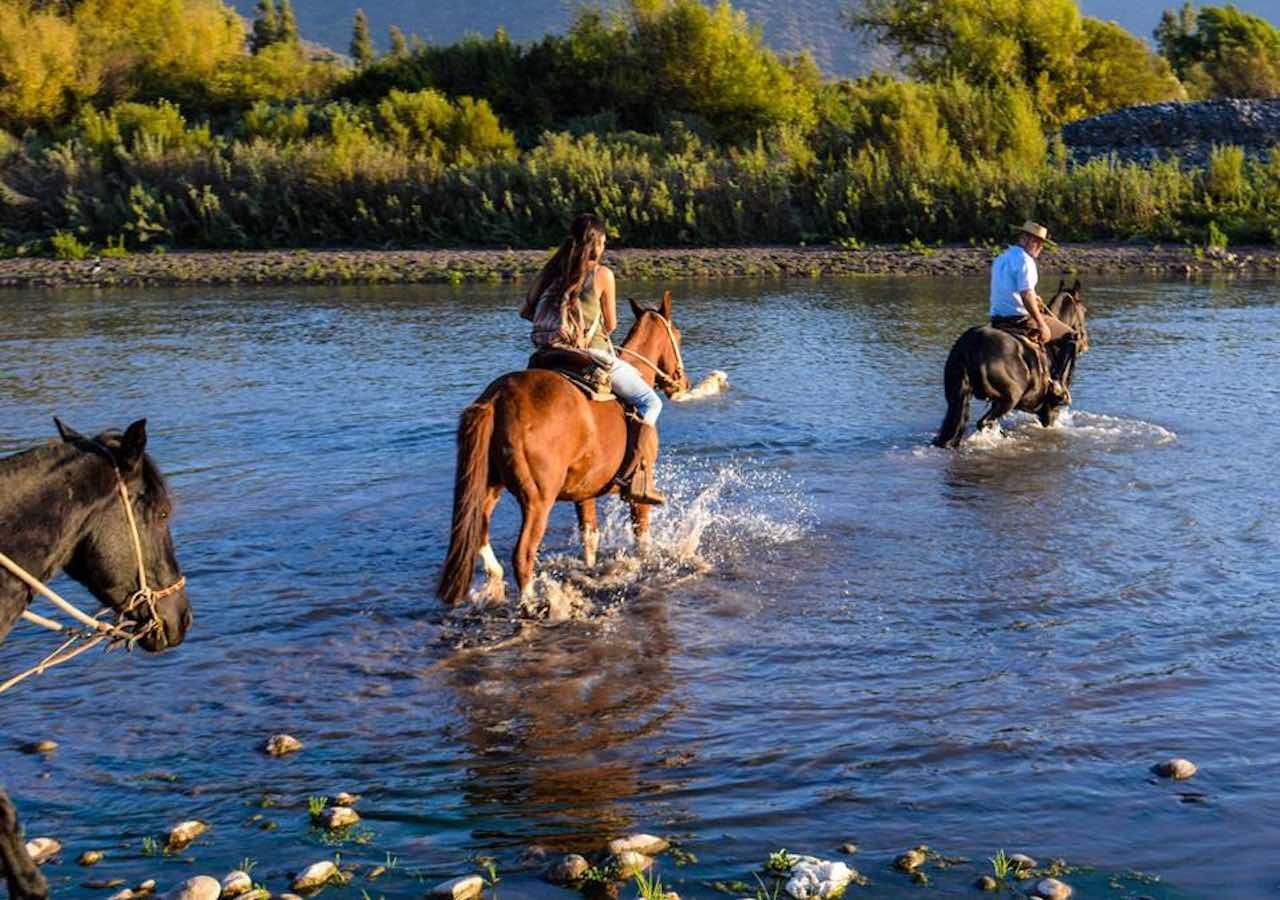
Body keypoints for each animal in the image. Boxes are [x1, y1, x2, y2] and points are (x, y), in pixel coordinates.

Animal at [437, 295, 691, 604]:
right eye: (677, 334)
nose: (683, 383)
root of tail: (497, 398)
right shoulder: (639, 492)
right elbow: (641, 537)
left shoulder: (585, 491)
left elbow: (589, 537)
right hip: (538, 500)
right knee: (523, 555)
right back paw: (531, 604)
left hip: (489, 486)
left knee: (479, 533)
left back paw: (496, 585)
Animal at [931, 280, 1090, 448]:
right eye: (1084, 311)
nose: (1084, 343)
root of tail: (970, 345)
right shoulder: (1050, 411)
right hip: (1010, 399)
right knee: (984, 422)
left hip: (958, 398)